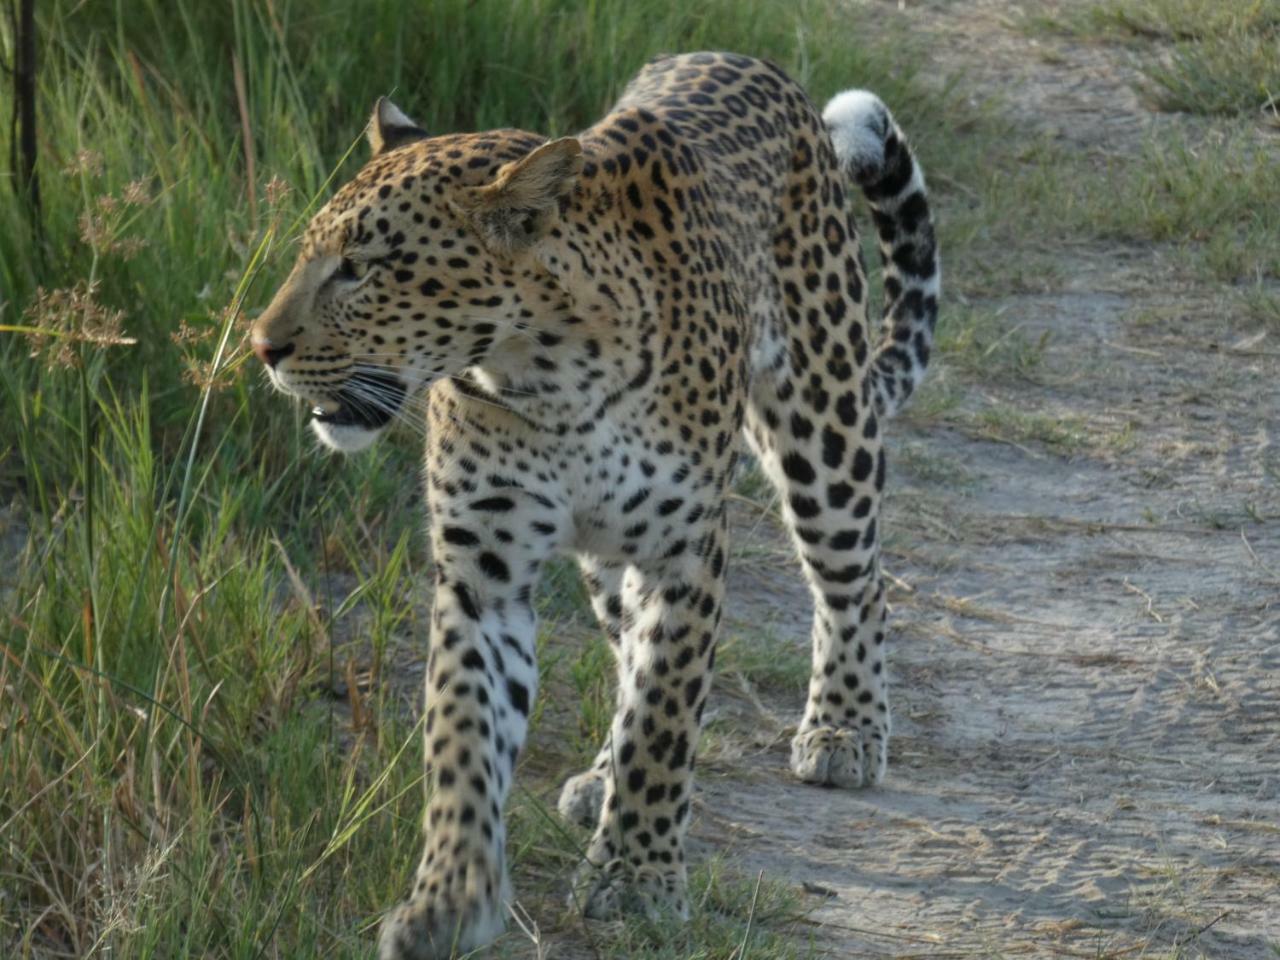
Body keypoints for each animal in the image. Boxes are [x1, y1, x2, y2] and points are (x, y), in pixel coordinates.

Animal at [249, 50, 936, 960]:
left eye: (363, 267)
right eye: (311, 257)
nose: (262, 346)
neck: (545, 370)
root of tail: (743, 59)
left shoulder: (685, 553)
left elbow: (665, 715)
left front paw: (637, 875)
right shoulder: (484, 574)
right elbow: (464, 733)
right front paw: (451, 896)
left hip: (826, 427)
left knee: (854, 584)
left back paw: (845, 728)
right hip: (612, 561)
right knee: (624, 647)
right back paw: (600, 780)